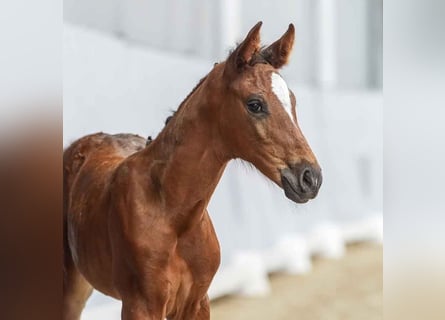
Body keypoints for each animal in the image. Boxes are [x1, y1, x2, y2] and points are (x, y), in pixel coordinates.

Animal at [62, 22, 320, 320]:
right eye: (255, 104)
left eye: (293, 101)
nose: (311, 177)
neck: (172, 214)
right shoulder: (140, 305)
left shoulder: (196, 302)